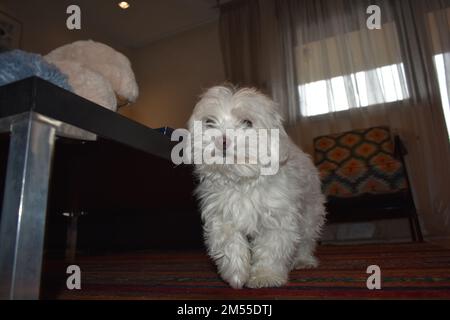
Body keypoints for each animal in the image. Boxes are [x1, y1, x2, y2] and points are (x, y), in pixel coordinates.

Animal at [188, 85, 326, 290]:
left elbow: (271, 248)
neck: (242, 181)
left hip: (311, 213)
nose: (222, 141)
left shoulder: (278, 218)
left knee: (306, 239)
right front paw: (236, 274)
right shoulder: (220, 217)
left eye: (247, 122)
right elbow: (228, 243)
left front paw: (265, 276)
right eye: (209, 122)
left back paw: (303, 260)